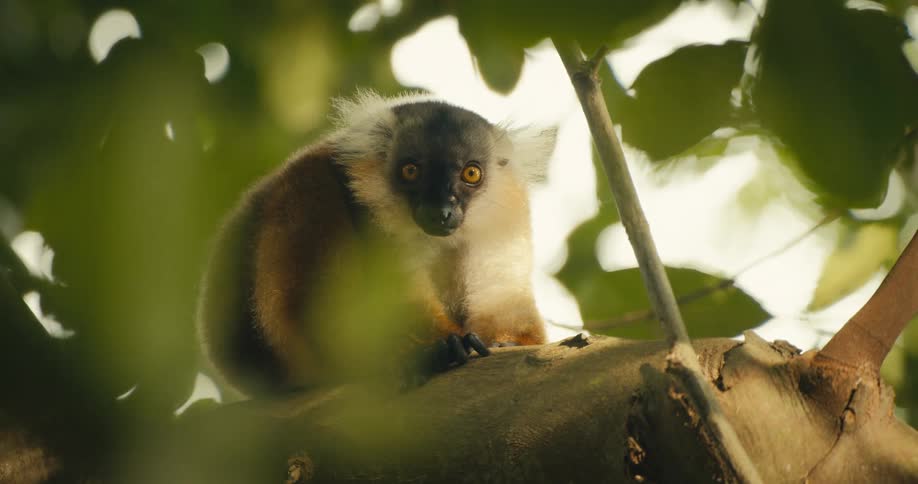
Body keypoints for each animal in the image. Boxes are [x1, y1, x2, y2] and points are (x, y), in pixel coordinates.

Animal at [196, 91, 556, 397]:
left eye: (471, 174)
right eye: (411, 170)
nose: (441, 211)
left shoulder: (506, 211)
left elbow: (502, 295)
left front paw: (507, 342)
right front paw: (438, 348)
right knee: (311, 184)